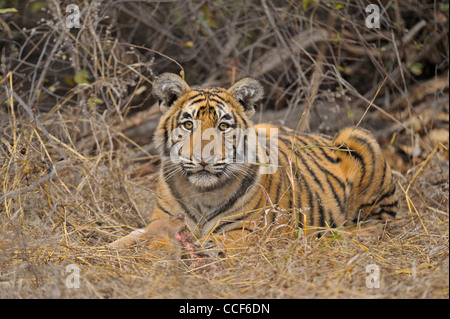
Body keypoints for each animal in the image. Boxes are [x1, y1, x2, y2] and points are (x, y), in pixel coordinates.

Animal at [110, 72, 398, 258]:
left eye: (223, 126)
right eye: (189, 124)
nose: (204, 160)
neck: (201, 193)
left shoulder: (247, 230)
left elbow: (213, 242)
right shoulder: (163, 218)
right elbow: (140, 234)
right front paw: (116, 246)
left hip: (359, 138)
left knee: (381, 223)